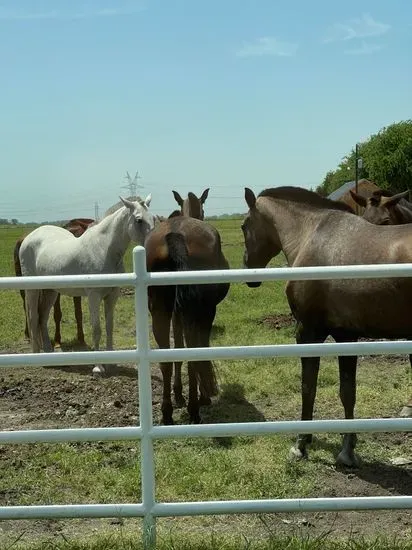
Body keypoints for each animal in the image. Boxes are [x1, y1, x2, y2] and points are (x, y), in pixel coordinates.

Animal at [13, 218, 95, 348]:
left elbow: (78, 313)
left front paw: (81, 339)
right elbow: (57, 314)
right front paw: (57, 340)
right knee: (27, 307)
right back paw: (28, 335)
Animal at [144, 216, 229, 426]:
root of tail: (176, 233)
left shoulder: (177, 313)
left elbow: (178, 349)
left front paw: (178, 395)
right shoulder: (206, 313)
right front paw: (205, 393)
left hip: (160, 311)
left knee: (165, 361)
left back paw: (167, 412)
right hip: (199, 311)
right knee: (193, 355)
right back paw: (194, 408)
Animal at [243, 188, 412, 468]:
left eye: (244, 225)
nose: (248, 269)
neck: (311, 234)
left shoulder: (308, 332)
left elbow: (308, 387)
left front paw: (301, 443)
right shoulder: (346, 335)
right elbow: (348, 392)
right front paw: (348, 448)